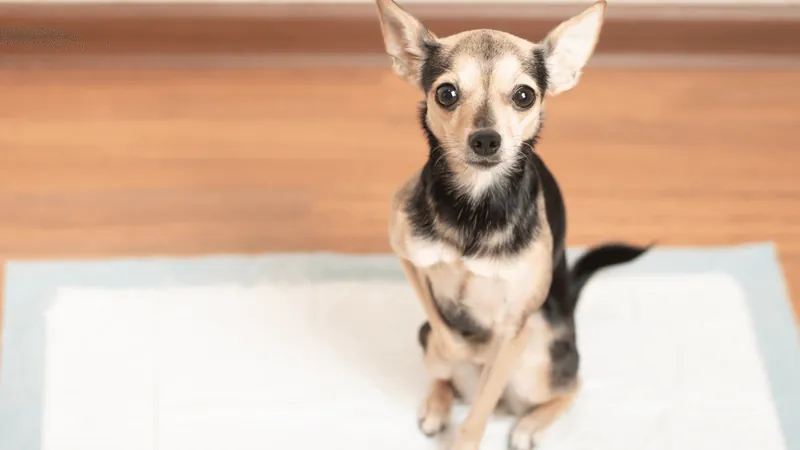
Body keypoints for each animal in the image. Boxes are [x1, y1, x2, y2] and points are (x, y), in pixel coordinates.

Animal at [378, 1, 652, 448]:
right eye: (446, 93)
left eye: (524, 96)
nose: (486, 139)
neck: (475, 206)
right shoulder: (409, 258)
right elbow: (447, 337)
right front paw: (462, 350)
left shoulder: (513, 329)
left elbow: (480, 409)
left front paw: (467, 436)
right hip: (427, 337)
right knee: (443, 365)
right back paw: (438, 403)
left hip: (539, 355)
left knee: (569, 386)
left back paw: (528, 425)